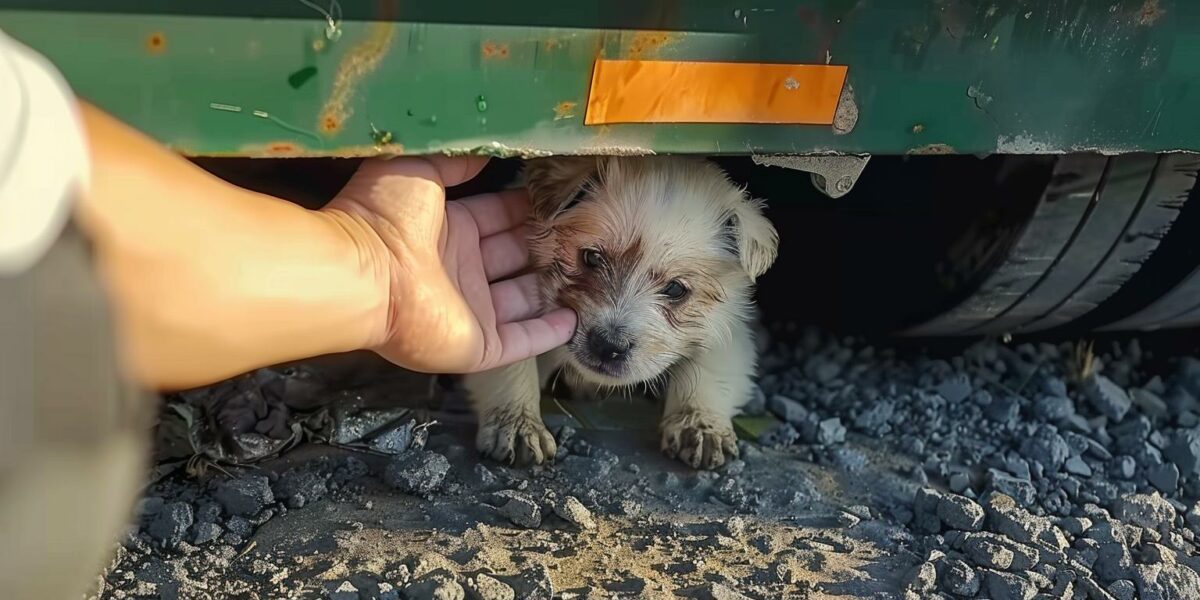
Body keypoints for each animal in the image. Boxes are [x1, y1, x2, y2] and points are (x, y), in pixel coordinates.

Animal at [458, 154, 777, 468]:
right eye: (591, 257)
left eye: (676, 289)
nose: (608, 346)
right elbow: (511, 365)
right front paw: (516, 424)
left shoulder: (728, 328)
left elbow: (710, 369)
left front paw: (699, 424)